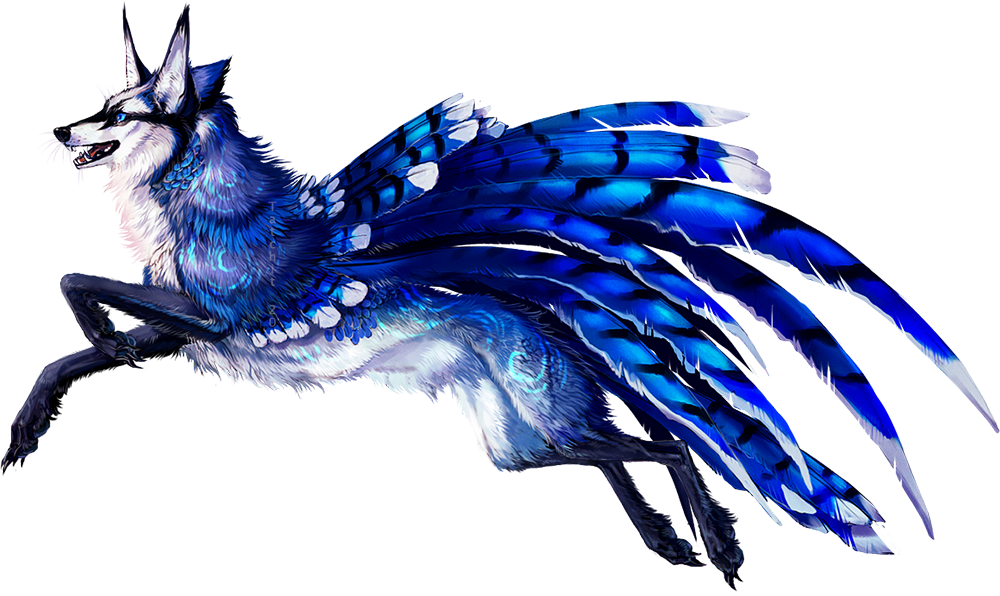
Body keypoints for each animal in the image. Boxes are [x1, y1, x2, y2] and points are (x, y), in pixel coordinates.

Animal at [5, 18, 986, 586]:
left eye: (120, 113)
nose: (56, 128)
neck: (210, 208)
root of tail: (551, 317)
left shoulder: (229, 317)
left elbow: (94, 286)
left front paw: (83, 351)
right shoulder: (196, 332)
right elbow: (101, 322)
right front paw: (52, 401)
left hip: (543, 424)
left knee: (669, 440)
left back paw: (715, 550)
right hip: (529, 433)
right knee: (637, 447)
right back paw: (674, 542)